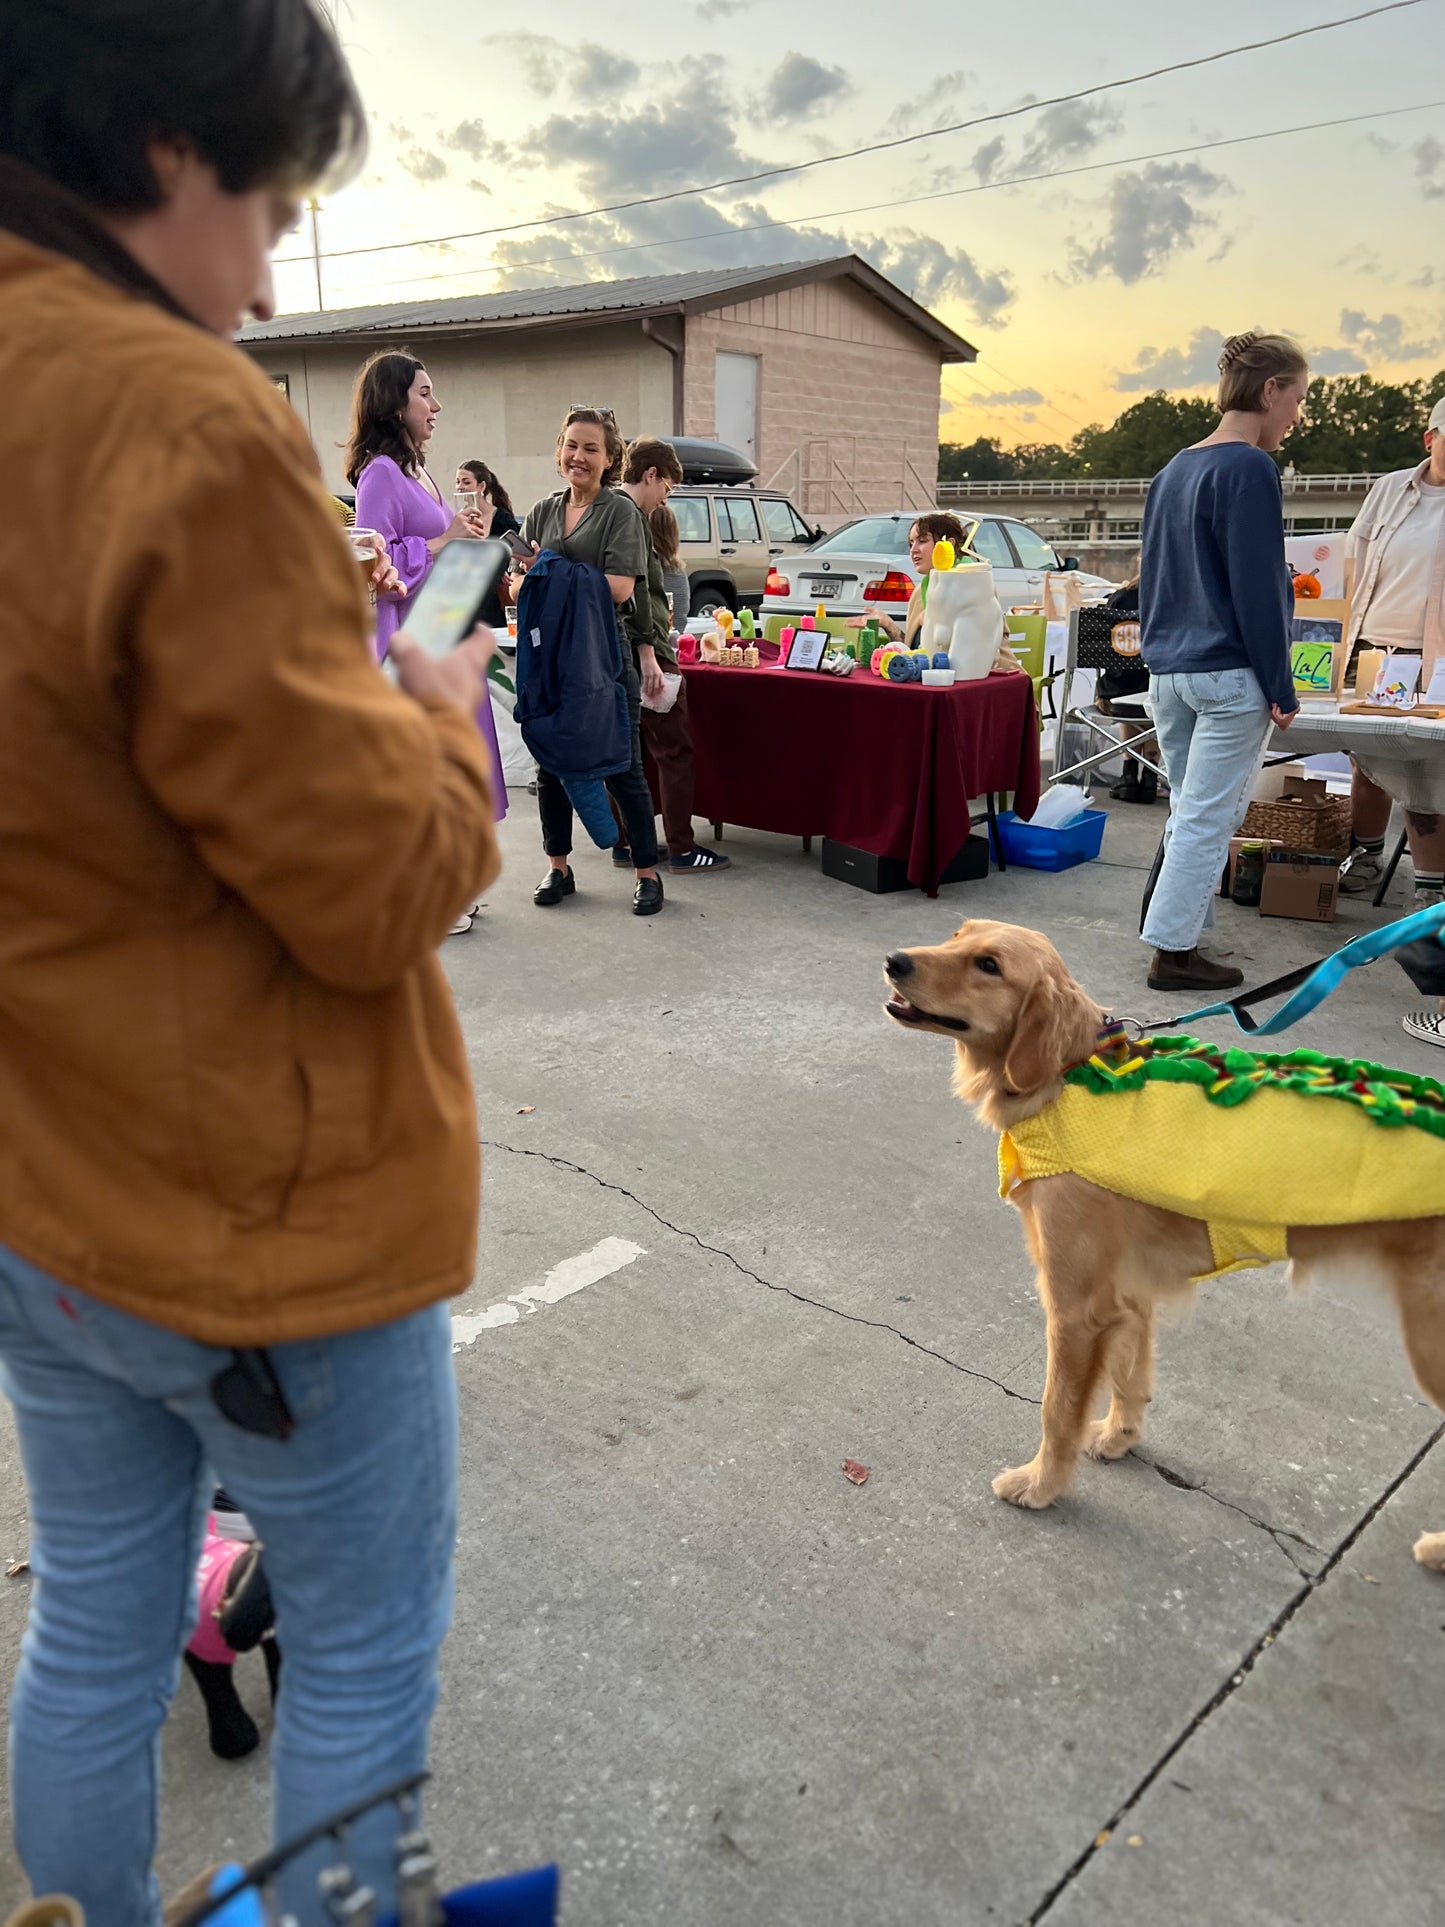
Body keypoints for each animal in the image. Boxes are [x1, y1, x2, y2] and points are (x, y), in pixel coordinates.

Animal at [882, 917, 1445, 1564]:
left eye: (990, 966)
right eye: (957, 936)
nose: (894, 961)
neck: (1068, 1076)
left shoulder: (1076, 1310)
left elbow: (1057, 1410)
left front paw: (1042, 1485)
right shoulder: (1128, 1294)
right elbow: (1131, 1378)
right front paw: (1119, 1438)